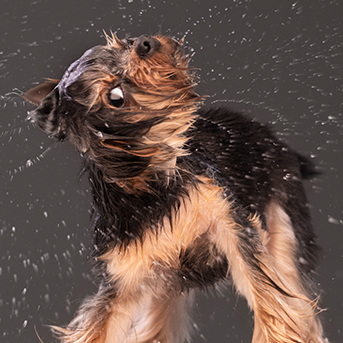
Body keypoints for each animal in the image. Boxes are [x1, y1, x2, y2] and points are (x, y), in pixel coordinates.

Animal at [24, 33, 328, 343]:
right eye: (115, 97)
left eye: (123, 42)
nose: (144, 43)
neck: (150, 184)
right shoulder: (125, 276)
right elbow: (99, 328)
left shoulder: (231, 225)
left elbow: (271, 301)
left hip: (283, 222)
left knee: (291, 281)